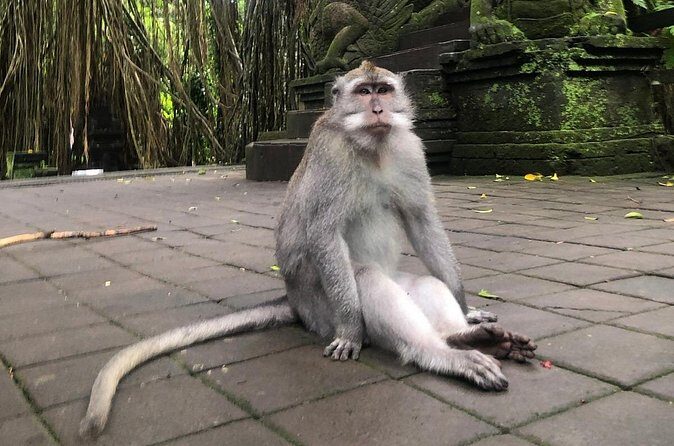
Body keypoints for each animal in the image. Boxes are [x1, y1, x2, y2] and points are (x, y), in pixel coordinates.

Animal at [79, 61, 536, 439]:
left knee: (422, 284)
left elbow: (423, 222)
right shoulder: (332, 161)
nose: (378, 110)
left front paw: (468, 307)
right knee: (367, 281)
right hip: (320, 308)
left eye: (384, 90)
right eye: (364, 92)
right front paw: (351, 330)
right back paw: (441, 354)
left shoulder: (410, 149)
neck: (372, 146)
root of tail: (295, 302)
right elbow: (323, 233)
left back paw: (466, 336)